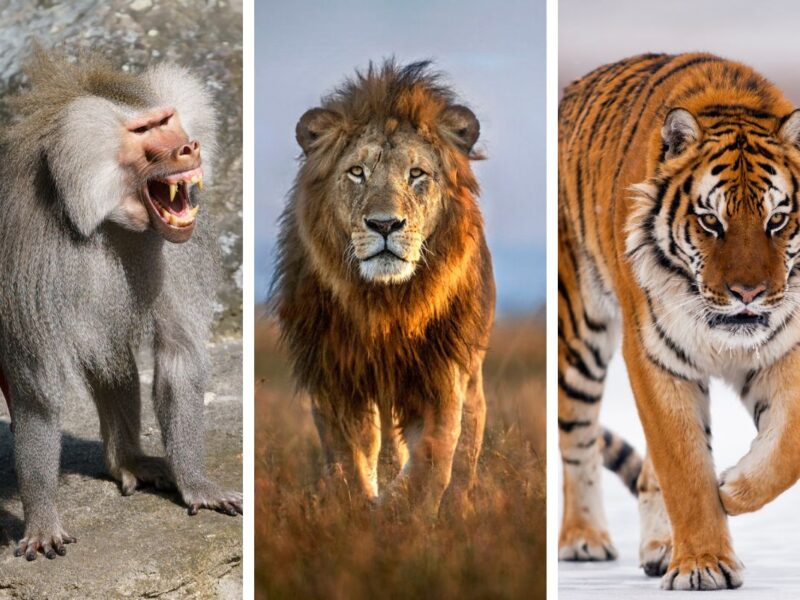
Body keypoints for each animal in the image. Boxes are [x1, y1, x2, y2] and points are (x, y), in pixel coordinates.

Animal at [271, 60, 495, 518]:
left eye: (417, 174)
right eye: (357, 172)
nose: (385, 224)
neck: (386, 304)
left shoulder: (441, 374)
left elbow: (434, 456)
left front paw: (404, 516)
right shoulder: (335, 375)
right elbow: (351, 454)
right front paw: (357, 510)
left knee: (465, 450)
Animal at [558, 52, 800, 591]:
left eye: (776, 220)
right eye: (711, 221)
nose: (748, 294)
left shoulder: (788, 348)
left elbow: (787, 445)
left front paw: (731, 488)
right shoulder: (656, 356)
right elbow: (684, 467)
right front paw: (704, 564)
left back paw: (659, 547)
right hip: (578, 334)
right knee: (577, 440)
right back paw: (585, 539)